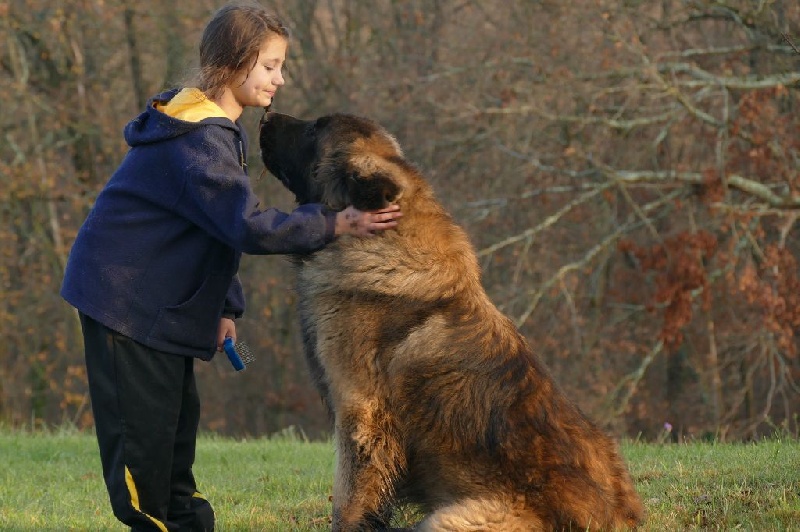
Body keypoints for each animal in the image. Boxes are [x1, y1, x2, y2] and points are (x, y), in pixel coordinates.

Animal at [260, 113, 648, 532]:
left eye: (314, 129)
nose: (266, 115)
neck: (383, 243)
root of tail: (616, 519)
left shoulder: (360, 413)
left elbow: (348, 501)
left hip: (447, 520)